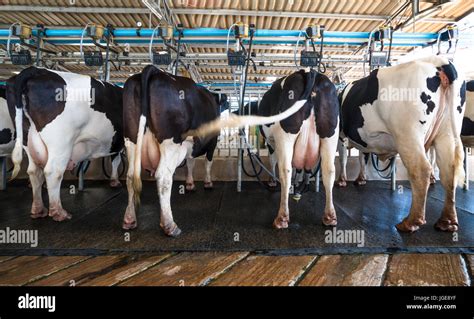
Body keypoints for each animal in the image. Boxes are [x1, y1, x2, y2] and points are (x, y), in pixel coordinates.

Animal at [8, 67, 123, 222]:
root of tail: (36, 70)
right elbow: (118, 160)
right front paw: (116, 181)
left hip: (28, 139)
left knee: (34, 172)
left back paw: (38, 210)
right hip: (61, 140)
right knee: (53, 171)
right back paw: (59, 212)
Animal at [338, 56, 464, 234]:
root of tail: (438, 62)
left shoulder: (341, 136)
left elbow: (343, 159)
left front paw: (341, 181)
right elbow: (363, 157)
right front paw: (361, 178)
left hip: (407, 134)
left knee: (421, 170)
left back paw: (410, 222)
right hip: (446, 133)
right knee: (449, 171)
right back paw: (447, 222)